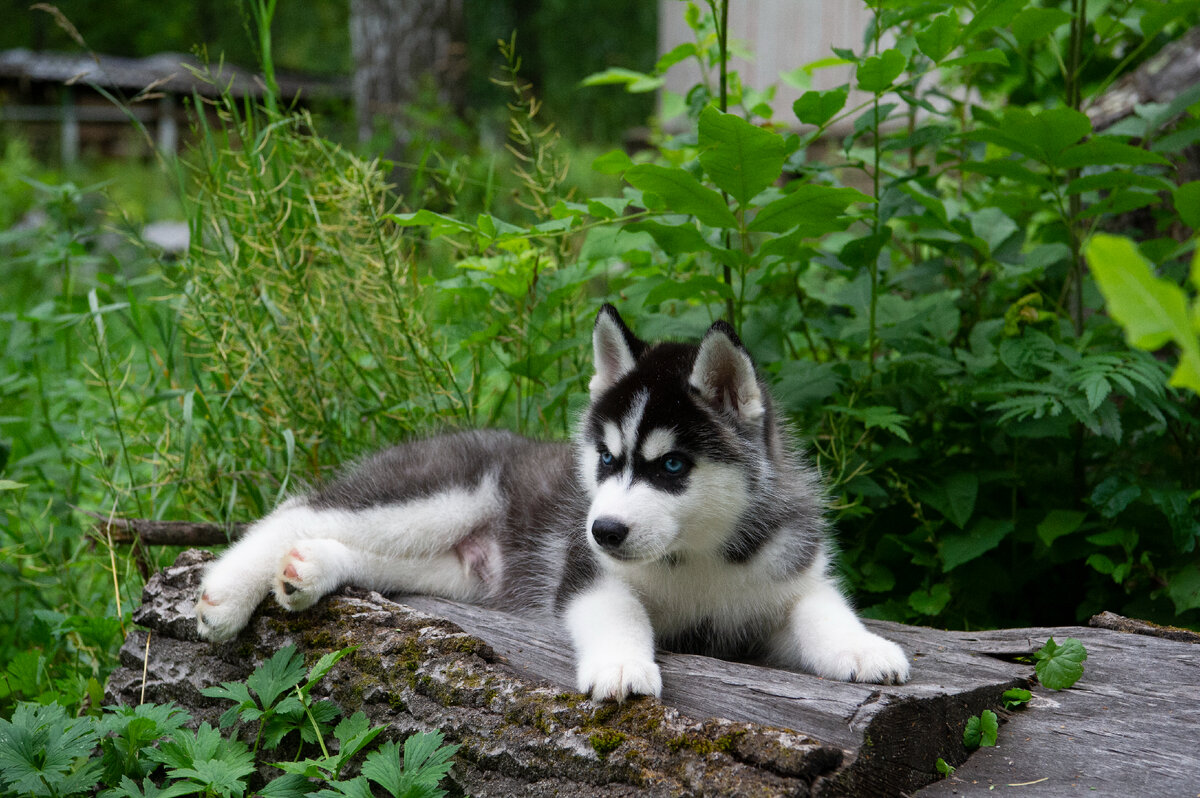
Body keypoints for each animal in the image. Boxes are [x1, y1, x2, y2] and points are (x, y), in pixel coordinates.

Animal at [194, 303, 907, 696]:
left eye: (673, 465)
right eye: (607, 460)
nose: (605, 531)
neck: (698, 557)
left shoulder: (787, 583)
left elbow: (824, 611)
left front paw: (864, 649)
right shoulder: (585, 576)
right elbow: (618, 614)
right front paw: (622, 666)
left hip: (461, 573)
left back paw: (310, 569)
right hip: (435, 496)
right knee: (301, 508)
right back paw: (227, 593)